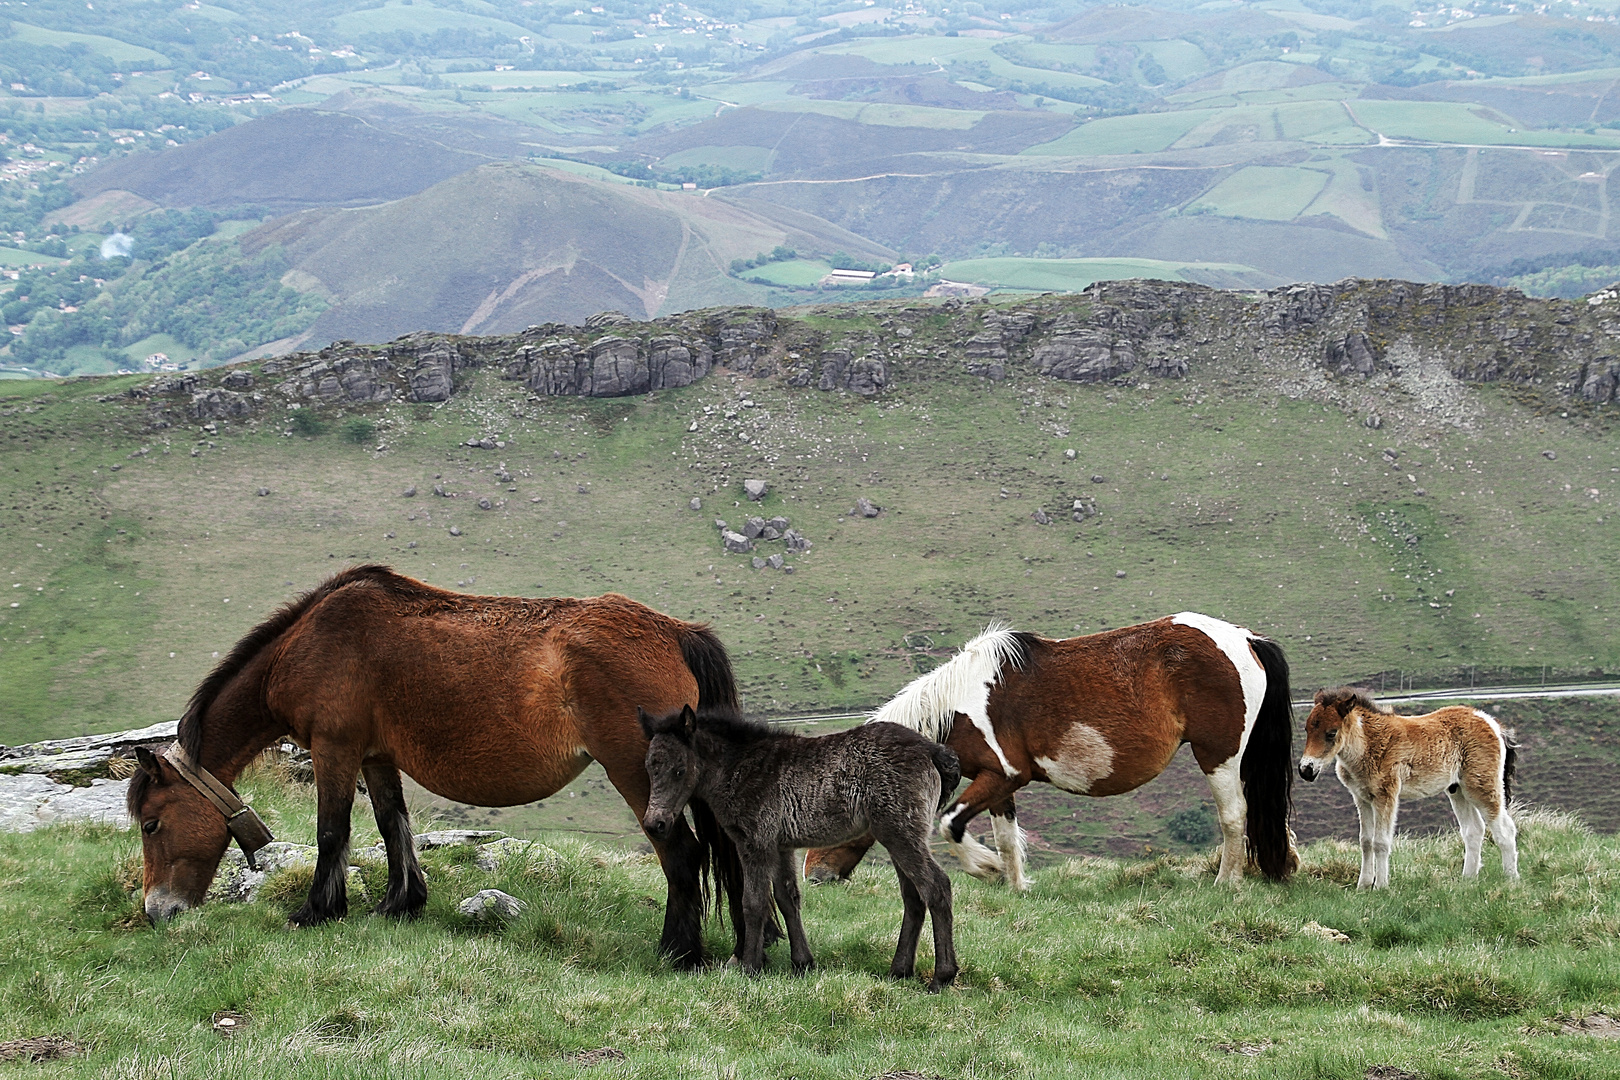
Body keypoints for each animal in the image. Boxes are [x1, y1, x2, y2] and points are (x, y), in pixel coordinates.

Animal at [127, 566, 745, 971]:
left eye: (151, 823)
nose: (157, 912)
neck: (310, 643)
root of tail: (676, 633)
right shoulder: (375, 756)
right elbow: (391, 824)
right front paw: (401, 902)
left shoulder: (335, 748)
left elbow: (332, 832)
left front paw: (317, 911)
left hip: (638, 774)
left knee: (681, 854)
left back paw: (677, 952)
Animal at [635, 705, 959, 990]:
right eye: (649, 767)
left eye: (679, 770)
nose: (655, 824)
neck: (740, 766)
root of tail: (931, 750)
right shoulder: (781, 846)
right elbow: (787, 898)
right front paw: (802, 963)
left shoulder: (755, 842)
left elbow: (753, 902)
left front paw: (749, 967)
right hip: (897, 836)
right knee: (913, 897)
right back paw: (899, 970)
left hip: (900, 833)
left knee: (936, 886)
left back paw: (942, 976)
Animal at [803, 612, 1296, 893]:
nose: (813, 875)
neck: (959, 704)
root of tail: (1245, 639)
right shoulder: (997, 783)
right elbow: (1004, 836)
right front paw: (1016, 885)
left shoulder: (1003, 775)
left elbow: (949, 825)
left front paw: (987, 870)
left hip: (1219, 755)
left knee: (1234, 815)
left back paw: (1227, 882)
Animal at [1302, 689, 1516, 893]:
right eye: (1306, 729)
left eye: (1331, 733)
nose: (1306, 770)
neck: (1368, 744)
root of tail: (1490, 722)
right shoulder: (1361, 798)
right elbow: (1365, 841)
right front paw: (1362, 886)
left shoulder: (1385, 795)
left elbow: (1380, 842)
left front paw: (1381, 887)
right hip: (1458, 790)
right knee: (1474, 830)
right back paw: (1468, 880)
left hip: (1482, 786)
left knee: (1505, 829)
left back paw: (1511, 879)